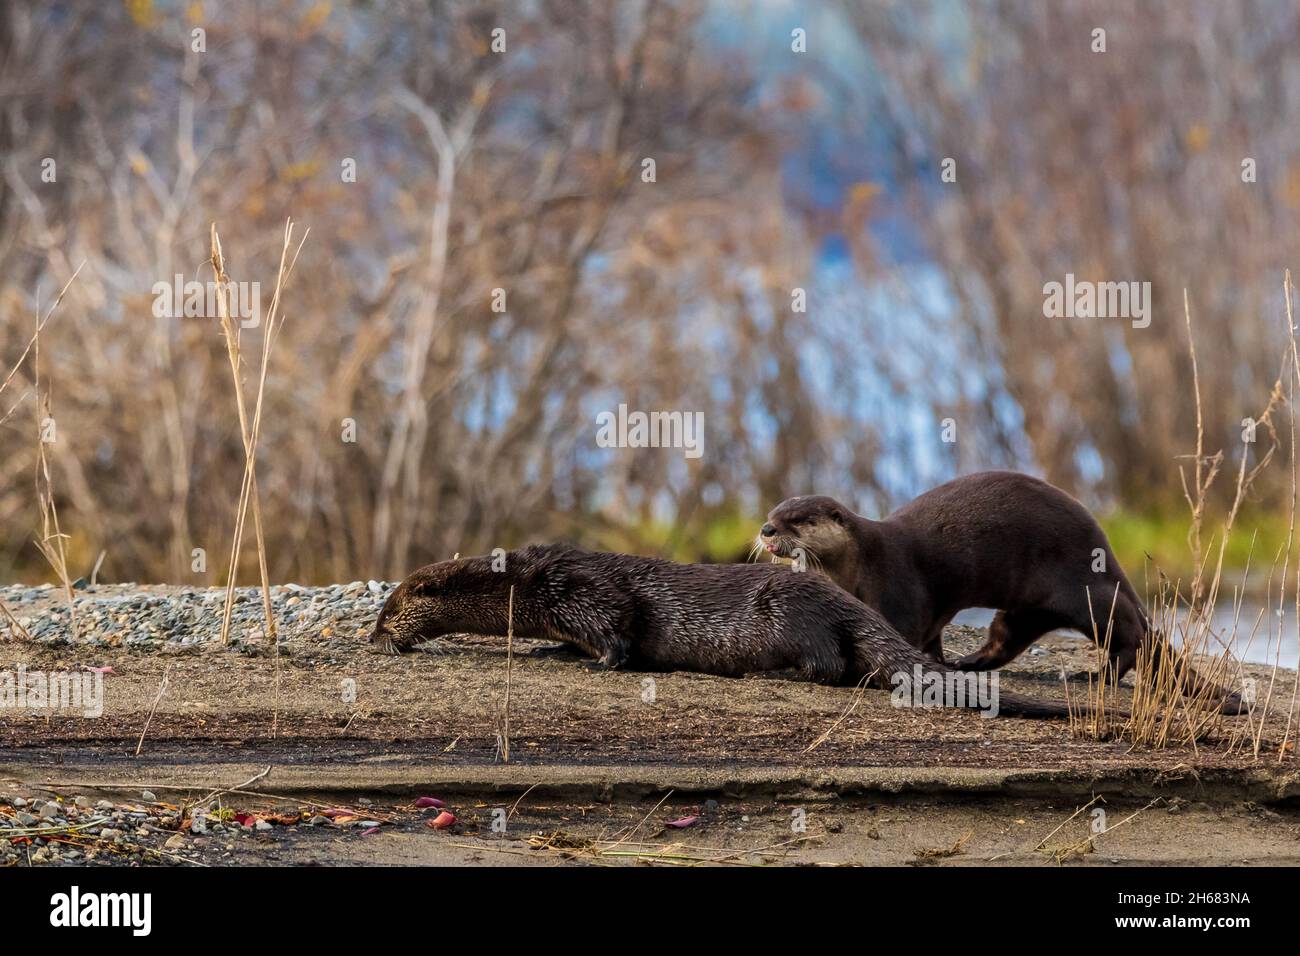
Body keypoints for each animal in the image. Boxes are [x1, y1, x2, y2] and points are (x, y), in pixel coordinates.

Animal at [759, 470, 1242, 712]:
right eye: (772, 512)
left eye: (797, 519)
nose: (765, 529)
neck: (861, 564)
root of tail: (1108, 553)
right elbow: (931, 640)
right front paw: (942, 663)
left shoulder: (902, 591)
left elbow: (904, 636)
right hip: (1024, 609)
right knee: (1005, 639)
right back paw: (968, 663)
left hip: (1089, 592)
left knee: (1130, 637)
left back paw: (1095, 676)